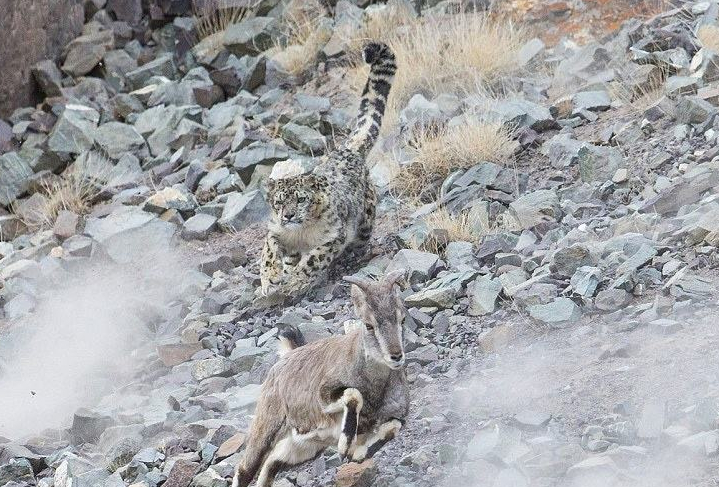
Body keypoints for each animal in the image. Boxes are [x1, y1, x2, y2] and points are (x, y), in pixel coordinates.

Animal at [259, 42, 397, 300]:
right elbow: (269, 250)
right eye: (279, 202)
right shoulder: (276, 230)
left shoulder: (333, 236)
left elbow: (314, 259)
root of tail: (347, 149)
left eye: (301, 199)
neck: (300, 234)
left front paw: (296, 282)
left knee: (360, 241)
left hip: (364, 221)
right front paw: (271, 278)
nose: (288, 216)